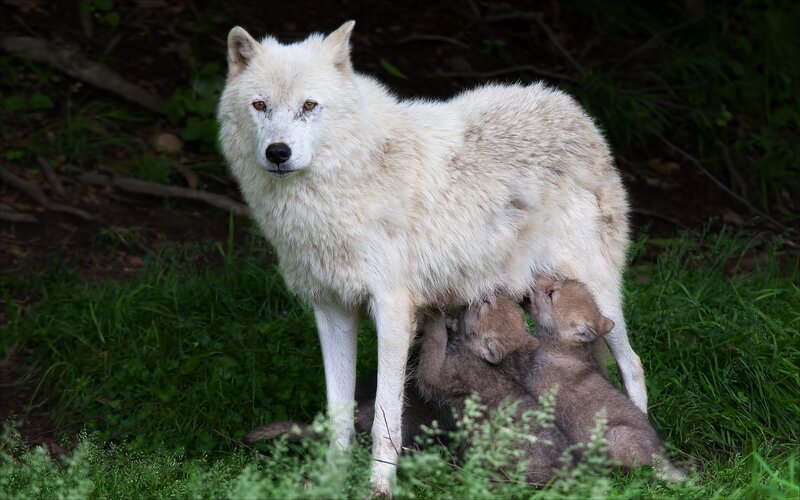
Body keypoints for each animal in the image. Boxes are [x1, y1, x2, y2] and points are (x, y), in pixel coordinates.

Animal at [217, 21, 643, 493]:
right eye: (260, 105)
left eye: (309, 105)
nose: (278, 152)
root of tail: (573, 109)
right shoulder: (331, 309)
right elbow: (338, 414)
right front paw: (332, 480)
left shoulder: (392, 309)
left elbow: (385, 415)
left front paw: (379, 487)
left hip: (599, 297)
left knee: (633, 363)